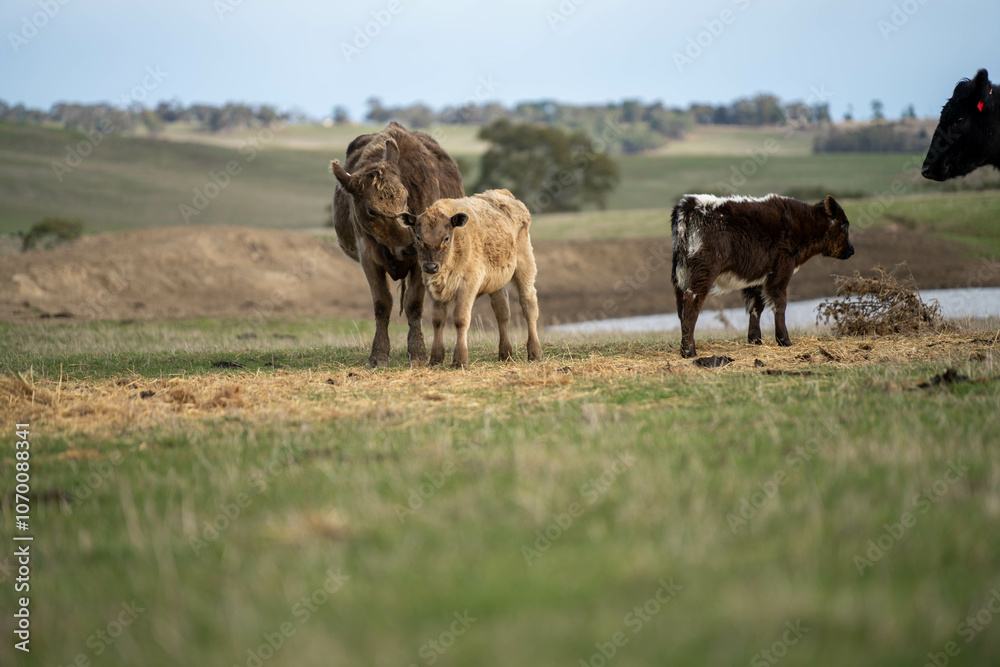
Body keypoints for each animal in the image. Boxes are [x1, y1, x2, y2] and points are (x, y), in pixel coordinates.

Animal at [330, 121, 464, 367]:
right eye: (371, 211)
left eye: (405, 198)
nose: (410, 246)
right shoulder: (367, 256)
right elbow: (382, 304)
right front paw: (379, 354)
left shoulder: (422, 262)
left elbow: (414, 304)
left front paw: (418, 353)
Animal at [400, 189, 542, 368]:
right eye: (418, 238)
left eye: (446, 238)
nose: (431, 267)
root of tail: (504, 194)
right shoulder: (434, 290)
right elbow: (438, 320)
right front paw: (435, 359)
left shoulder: (467, 285)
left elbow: (461, 319)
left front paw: (460, 360)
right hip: (497, 284)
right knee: (502, 312)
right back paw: (505, 354)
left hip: (525, 269)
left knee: (529, 306)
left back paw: (534, 353)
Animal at [671, 194, 854, 359]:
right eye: (844, 225)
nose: (852, 250)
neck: (799, 224)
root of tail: (689, 204)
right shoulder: (780, 273)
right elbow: (779, 305)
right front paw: (784, 340)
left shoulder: (758, 279)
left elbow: (755, 307)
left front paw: (755, 340)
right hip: (703, 274)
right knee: (692, 304)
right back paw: (689, 351)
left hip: (680, 277)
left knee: (681, 308)